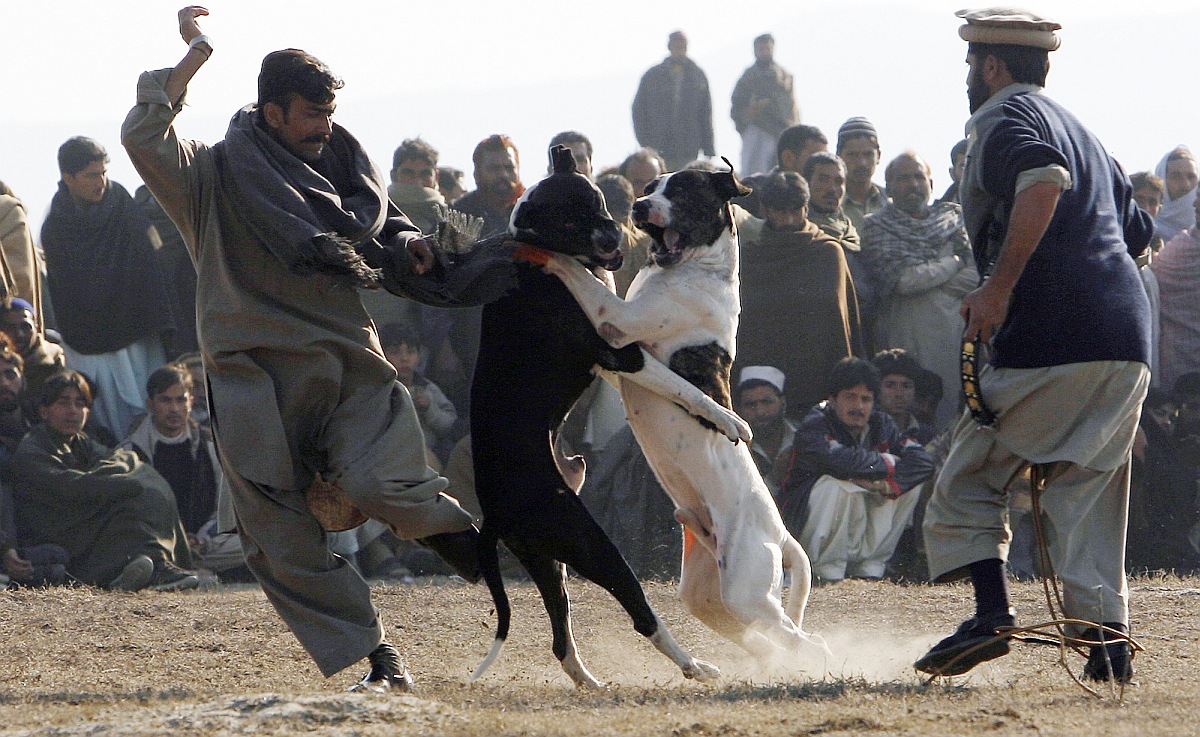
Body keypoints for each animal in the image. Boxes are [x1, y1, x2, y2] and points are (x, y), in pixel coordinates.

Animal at [468, 147, 739, 691]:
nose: (616, 232)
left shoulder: (613, 359)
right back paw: (693, 666)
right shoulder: (621, 354)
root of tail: (494, 515)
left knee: (560, 635)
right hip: (594, 547)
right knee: (641, 615)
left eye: (596, 202)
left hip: (550, 562)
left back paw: (589, 683)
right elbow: (686, 390)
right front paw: (725, 419)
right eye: (571, 223)